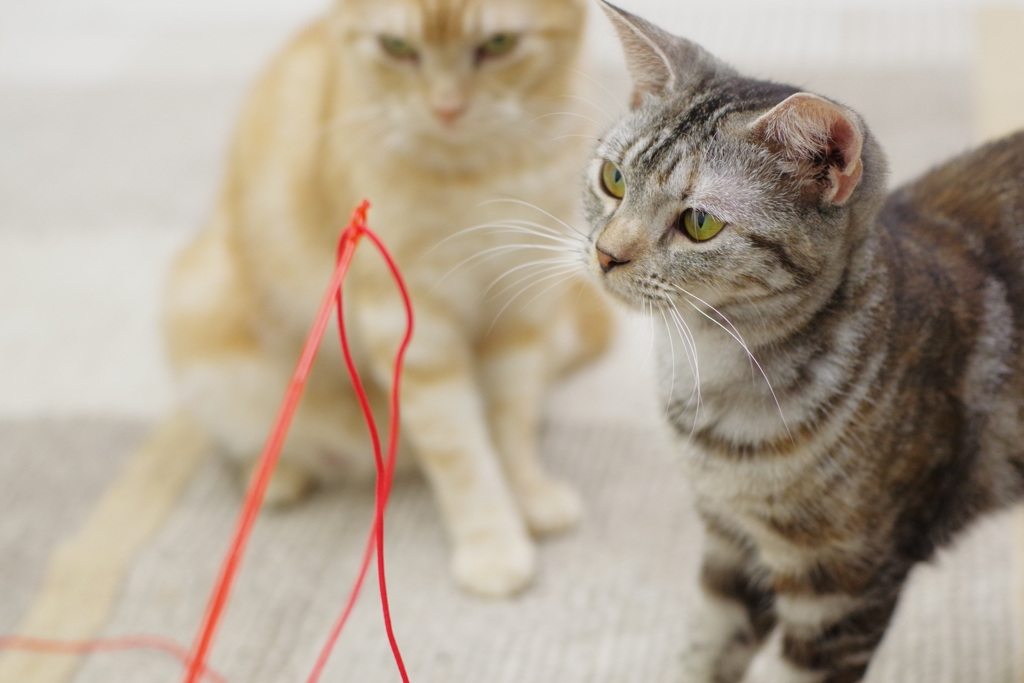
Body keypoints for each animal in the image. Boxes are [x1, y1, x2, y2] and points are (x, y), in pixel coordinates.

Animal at [164, 0, 610, 598]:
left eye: (497, 44)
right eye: (398, 48)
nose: (446, 108)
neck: (484, 173)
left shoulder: (521, 309)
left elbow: (510, 424)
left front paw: (528, 492)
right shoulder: (415, 331)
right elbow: (462, 453)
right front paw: (492, 543)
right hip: (202, 304)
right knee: (260, 435)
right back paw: (275, 473)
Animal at [585, 2, 1024, 679]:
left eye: (699, 223)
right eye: (612, 179)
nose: (606, 254)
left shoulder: (843, 583)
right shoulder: (731, 544)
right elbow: (705, 649)